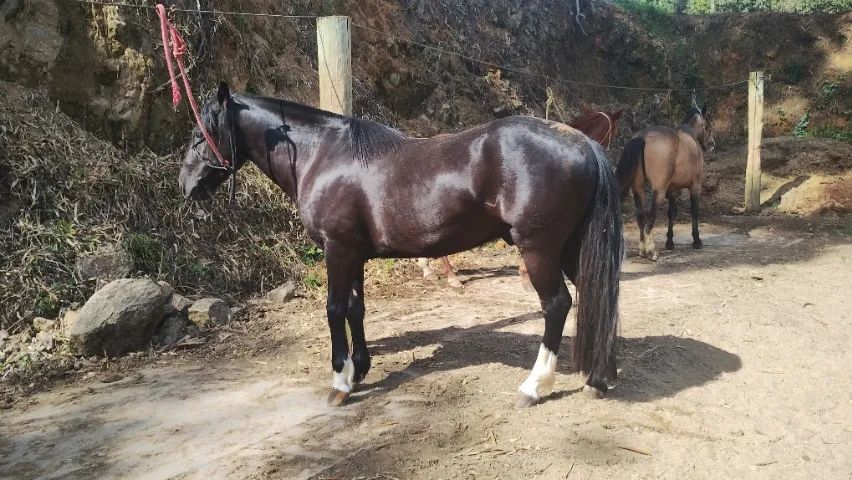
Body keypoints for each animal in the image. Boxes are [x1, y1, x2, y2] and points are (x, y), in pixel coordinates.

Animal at [615, 106, 715, 261]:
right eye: (709, 125)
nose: (712, 144)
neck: (690, 135)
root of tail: (642, 137)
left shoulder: (672, 190)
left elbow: (671, 213)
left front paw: (669, 242)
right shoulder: (695, 186)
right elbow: (694, 211)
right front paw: (697, 240)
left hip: (638, 188)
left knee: (640, 215)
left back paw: (642, 250)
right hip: (658, 190)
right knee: (651, 215)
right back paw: (651, 251)